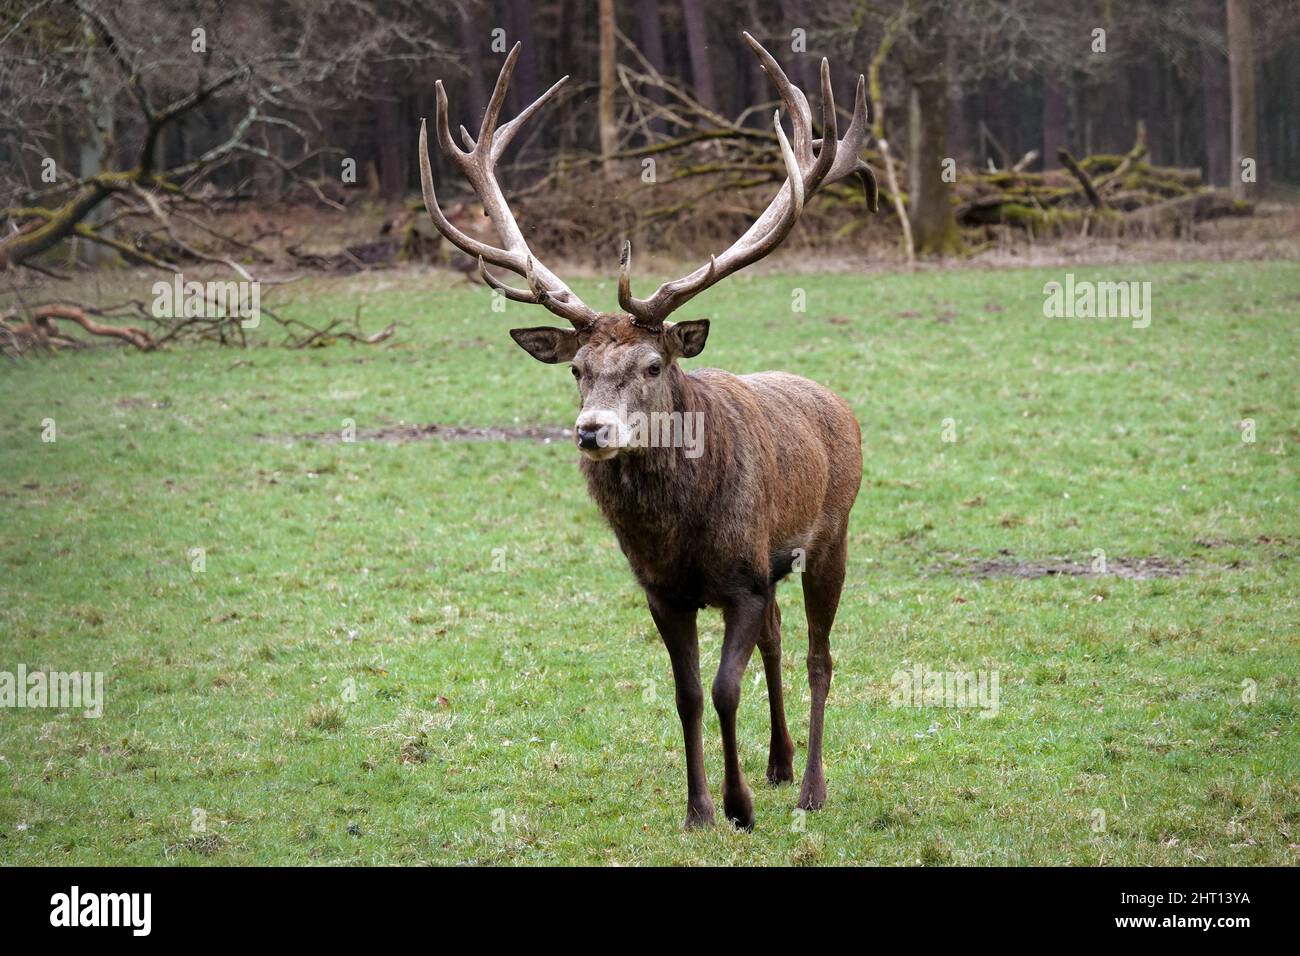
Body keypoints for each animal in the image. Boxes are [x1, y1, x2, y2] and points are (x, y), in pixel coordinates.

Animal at [418, 33, 877, 830]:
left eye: (654, 362)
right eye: (576, 368)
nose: (591, 431)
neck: (679, 535)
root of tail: (836, 401)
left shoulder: (744, 578)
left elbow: (724, 689)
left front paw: (738, 807)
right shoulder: (663, 591)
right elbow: (689, 694)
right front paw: (698, 809)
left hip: (832, 534)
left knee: (819, 656)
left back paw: (812, 787)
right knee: (780, 641)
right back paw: (781, 763)